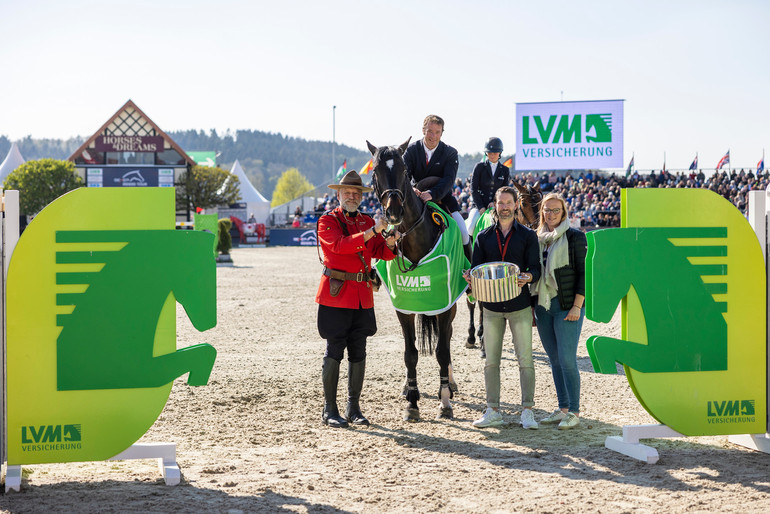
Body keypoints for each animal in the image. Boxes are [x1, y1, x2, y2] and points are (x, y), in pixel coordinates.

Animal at [368, 137, 460, 420]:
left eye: (404, 171)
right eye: (375, 172)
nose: (394, 212)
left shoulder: (444, 304)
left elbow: (442, 350)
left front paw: (444, 400)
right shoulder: (404, 307)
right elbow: (410, 353)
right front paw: (412, 400)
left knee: (447, 338)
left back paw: (450, 384)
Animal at [462, 180, 540, 352]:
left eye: (540, 201)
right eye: (524, 203)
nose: (537, 230)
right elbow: (483, 306)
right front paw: (483, 340)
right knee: (471, 304)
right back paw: (472, 337)